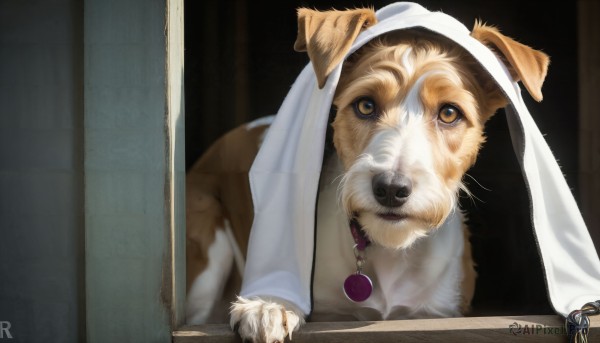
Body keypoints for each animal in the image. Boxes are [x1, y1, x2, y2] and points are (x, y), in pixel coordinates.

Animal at [186, 3, 548, 343]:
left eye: (449, 113)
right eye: (365, 105)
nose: (391, 188)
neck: (389, 249)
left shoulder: (436, 312)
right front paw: (270, 305)